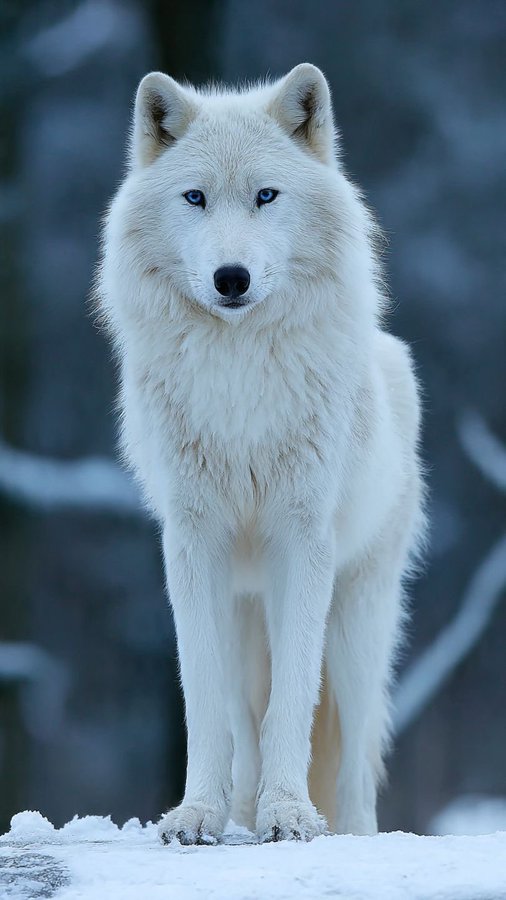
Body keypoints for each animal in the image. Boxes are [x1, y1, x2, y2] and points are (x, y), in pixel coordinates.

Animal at [98, 63, 425, 844]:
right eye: (195, 198)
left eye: (266, 196)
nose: (232, 278)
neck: (239, 376)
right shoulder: (193, 544)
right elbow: (205, 704)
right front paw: (197, 815)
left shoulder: (301, 541)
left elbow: (294, 700)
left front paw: (290, 816)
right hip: (247, 617)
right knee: (243, 719)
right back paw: (238, 815)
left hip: (357, 627)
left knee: (354, 756)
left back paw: (347, 832)